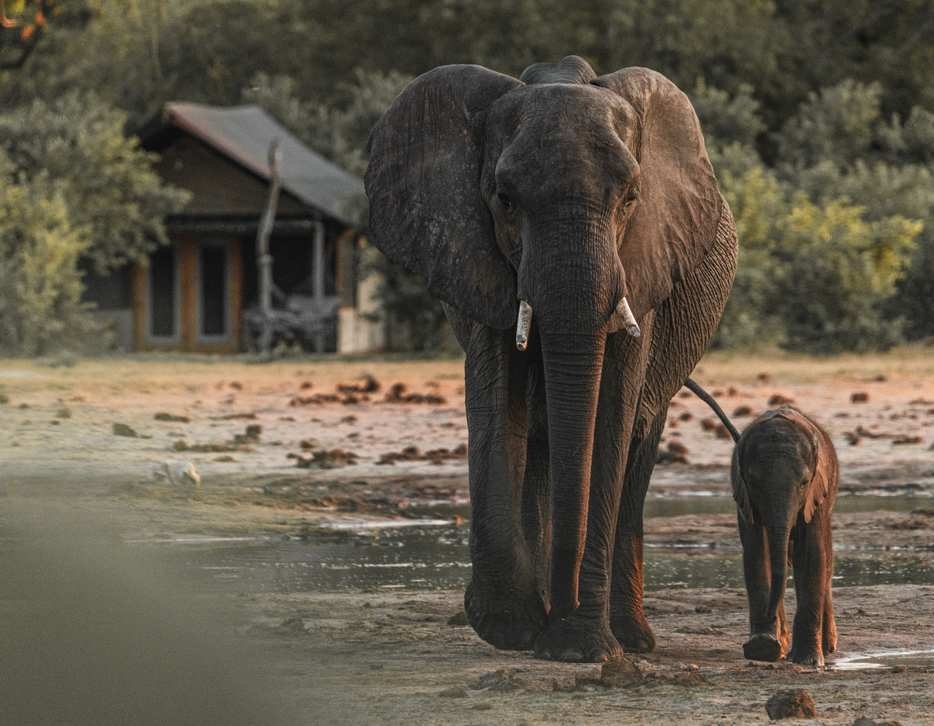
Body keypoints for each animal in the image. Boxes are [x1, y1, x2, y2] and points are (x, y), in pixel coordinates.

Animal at [365, 55, 738, 662]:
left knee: (635, 448)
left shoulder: (645, 260)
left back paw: (631, 640)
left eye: (630, 198)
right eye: (505, 199)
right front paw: (512, 629)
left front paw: (581, 647)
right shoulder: (480, 264)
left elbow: (608, 419)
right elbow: (499, 410)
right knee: (539, 449)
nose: (558, 615)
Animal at [731, 406, 839, 667]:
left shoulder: (816, 496)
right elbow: (757, 553)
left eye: (804, 483)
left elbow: (811, 555)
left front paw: (808, 661)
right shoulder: (744, 499)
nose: (770, 615)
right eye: (754, 482)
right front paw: (763, 647)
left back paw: (827, 648)